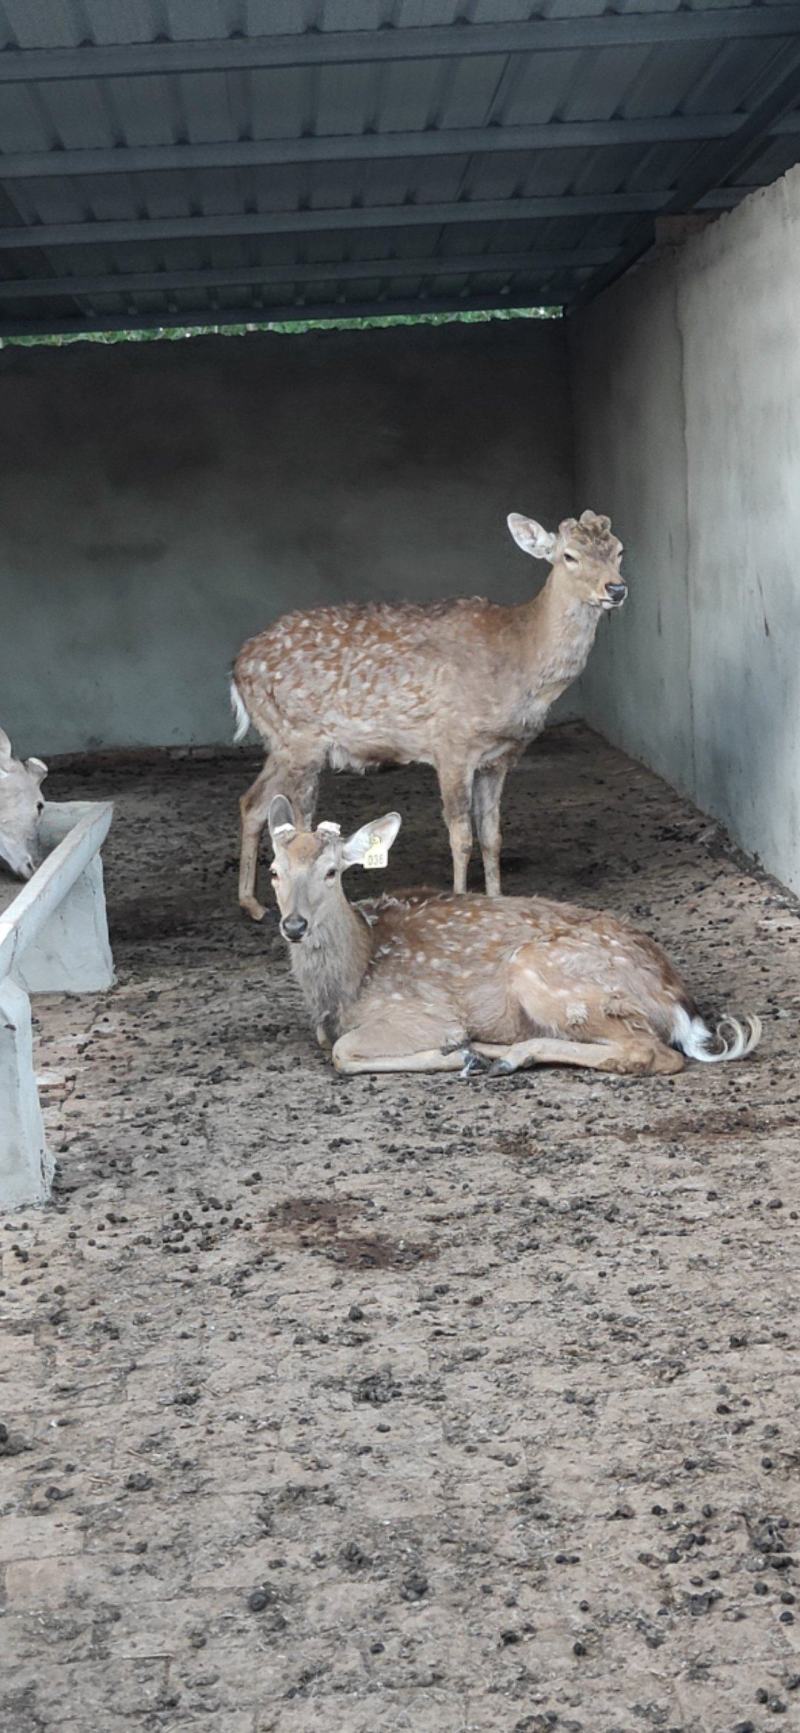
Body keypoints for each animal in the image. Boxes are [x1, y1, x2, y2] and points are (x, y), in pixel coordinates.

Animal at [231, 509, 628, 920]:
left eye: (619, 551)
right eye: (569, 556)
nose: (616, 589)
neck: (520, 660)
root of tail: (238, 669)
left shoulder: (499, 757)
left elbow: (492, 836)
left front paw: (498, 899)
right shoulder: (452, 744)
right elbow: (461, 837)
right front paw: (460, 898)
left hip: (282, 742)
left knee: (252, 802)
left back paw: (252, 904)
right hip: (301, 738)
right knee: (297, 824)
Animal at [266, 797, 761, 1080]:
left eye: (332, 872)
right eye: (273, 871)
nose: (294, 925)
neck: (351, 978)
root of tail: (680, 1004)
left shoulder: (422, 1012)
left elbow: (343, 1052)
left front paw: (455, 1055)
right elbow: (329, 1043)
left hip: (543, 974)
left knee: (650, 1053)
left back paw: (497, 1055)